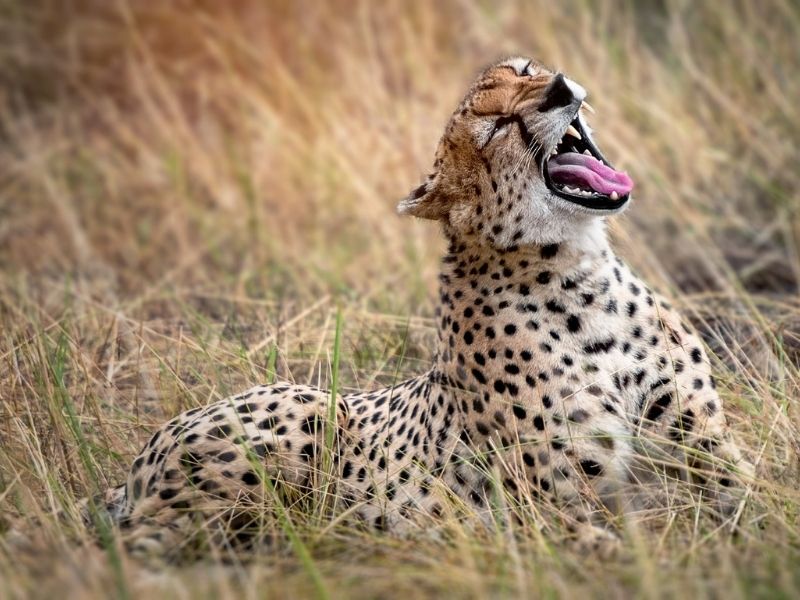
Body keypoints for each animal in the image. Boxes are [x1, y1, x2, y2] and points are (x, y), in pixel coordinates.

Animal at [67, 56, 752, 556]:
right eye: (497, 128)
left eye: (527, 68)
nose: (560, 87)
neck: (580, 274)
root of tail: (139, 462)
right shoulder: (551, 509)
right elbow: (621, 543)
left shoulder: (700, 440)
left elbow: (748, 490)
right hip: (302, 415)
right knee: (145, 542)